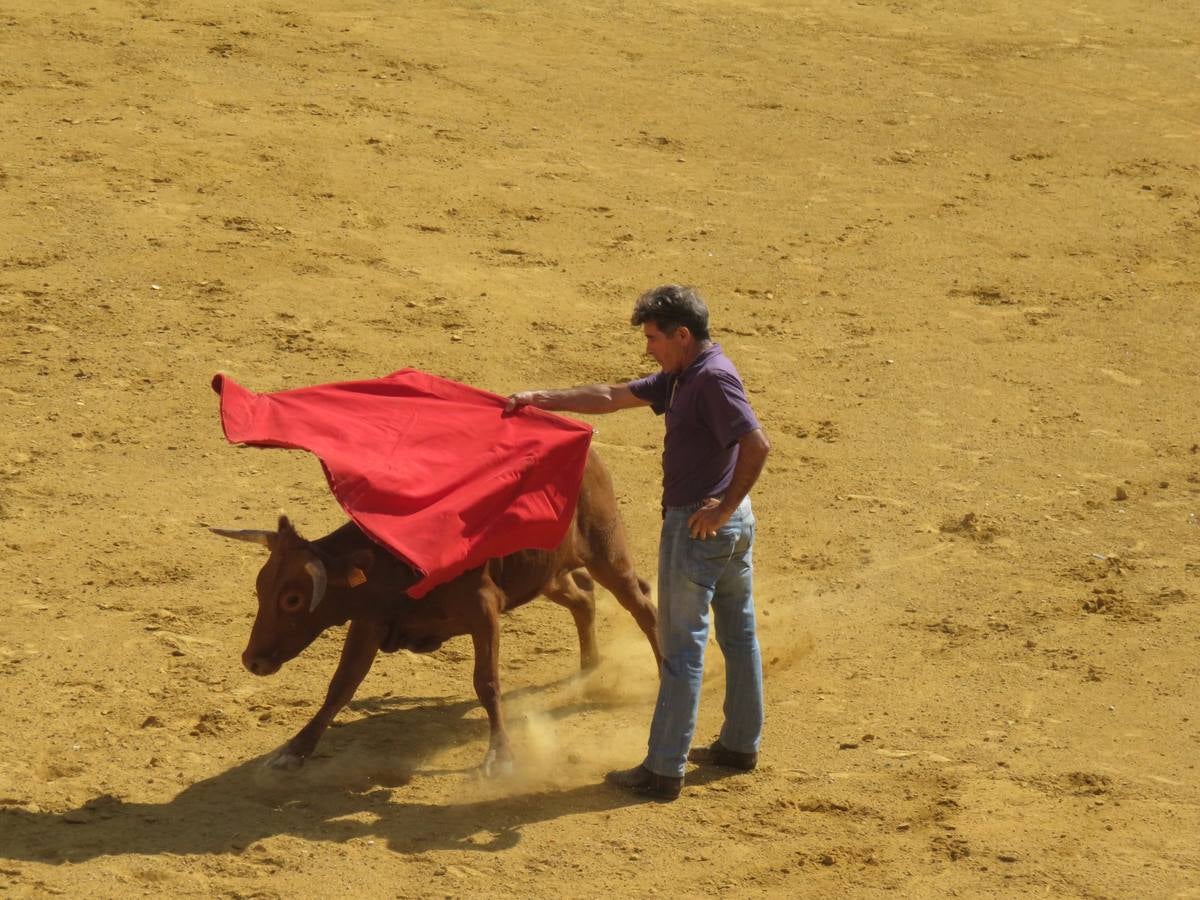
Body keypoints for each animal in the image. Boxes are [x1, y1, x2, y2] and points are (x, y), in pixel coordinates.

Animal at [211, 448, 662, 777]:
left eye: (291, 599)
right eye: (260, 588)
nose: (252, 660)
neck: (396, 557)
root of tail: (590, 455)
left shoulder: (484, 610)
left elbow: (487, 682)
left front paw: (500, 757)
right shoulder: (369, 621)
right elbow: (341, 685)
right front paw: (295, 749)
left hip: (607, 552)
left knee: (642, 606)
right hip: (546, 575)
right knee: (583, 599)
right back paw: (590, 669)